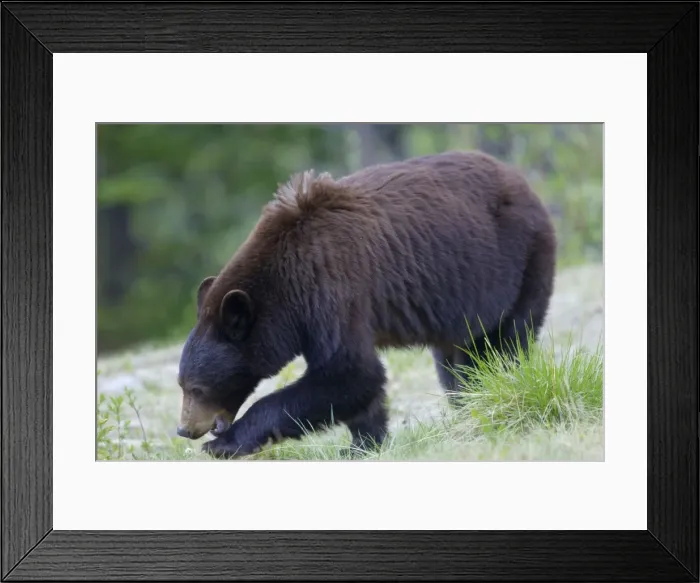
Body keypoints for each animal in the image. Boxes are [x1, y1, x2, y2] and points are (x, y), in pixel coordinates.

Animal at [175, 150, 557, 459]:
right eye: (182, 385)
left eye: (197, 387)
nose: (185, 429)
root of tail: (521, 180)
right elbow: (358, 384)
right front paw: (362, 444)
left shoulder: (331, 289)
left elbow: (350, 373)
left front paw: (223, 444)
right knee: (456, 359)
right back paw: (468, 402)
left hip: (520, 262)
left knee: (507, 339)